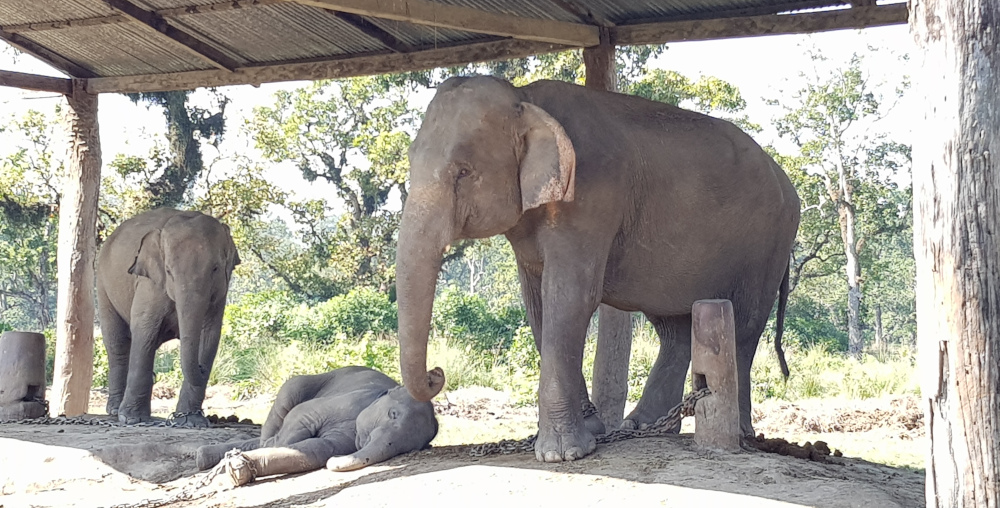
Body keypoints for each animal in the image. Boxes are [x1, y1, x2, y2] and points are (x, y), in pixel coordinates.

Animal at [95, 208, 240, 426]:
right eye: (169, 271)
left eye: (215, 268)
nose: (202, 368)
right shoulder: (150, 285)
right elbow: (144, 330)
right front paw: (131, 419)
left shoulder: (219, 296)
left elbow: (209, 337)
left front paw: (191, 422)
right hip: (103, 286)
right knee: (118, 343)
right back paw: (114, 411)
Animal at [195, 366, 438, 484]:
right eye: (392, 414)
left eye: (412, 448)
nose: (335, 461)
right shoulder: (349, 400)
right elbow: (302, 415)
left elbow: (316, 451)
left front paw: (240, 468)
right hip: (302, 383)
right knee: (287, 398)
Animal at [394, 76, 800, 464]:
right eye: (411, 161)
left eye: (463, 171)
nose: (436, 373)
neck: (524, 97)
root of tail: (787, 180)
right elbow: (538, 305)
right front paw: (590, 430)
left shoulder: (592, 198)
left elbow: (569, 298)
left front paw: (561, 453)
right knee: (674, 328)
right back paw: (643, 427)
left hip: (768, 243)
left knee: (744, 325)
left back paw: (739, 433)